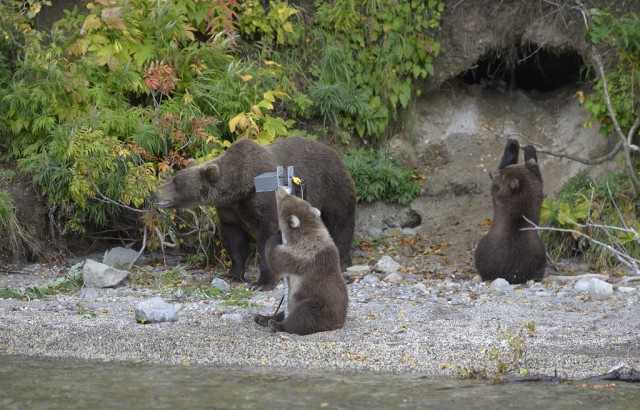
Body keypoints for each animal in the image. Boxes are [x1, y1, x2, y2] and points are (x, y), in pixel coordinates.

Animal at [153, 136, 358, 290]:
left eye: (176, 183)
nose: (155, 191)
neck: (238, 188)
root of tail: (335, 153)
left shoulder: (262, 201)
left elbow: (266, 236)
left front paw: (262, 283)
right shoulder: (230, 210)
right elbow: (234, 238)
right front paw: (233, 274)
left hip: (332, 186)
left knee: (340, 222)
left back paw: (342, 260)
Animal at [254, 189, 348, 336]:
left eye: (285, 199)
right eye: (293, 196)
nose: (279, 190)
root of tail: (340, 321)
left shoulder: (301, 255)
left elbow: (276, 261)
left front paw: (275, 236)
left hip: (318, 302)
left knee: (304, 316)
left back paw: (276, 325)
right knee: (283, 312)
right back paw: (262, 317)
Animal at [476, 139, 544, 284]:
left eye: (502, 173)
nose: (491, 173)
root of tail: (511, 275)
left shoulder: (499, 197)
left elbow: (494, 191)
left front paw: (512, 145)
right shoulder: (537, 192)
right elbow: (537, 176)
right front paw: (529, 149)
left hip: (485, 249)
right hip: (540, 255)